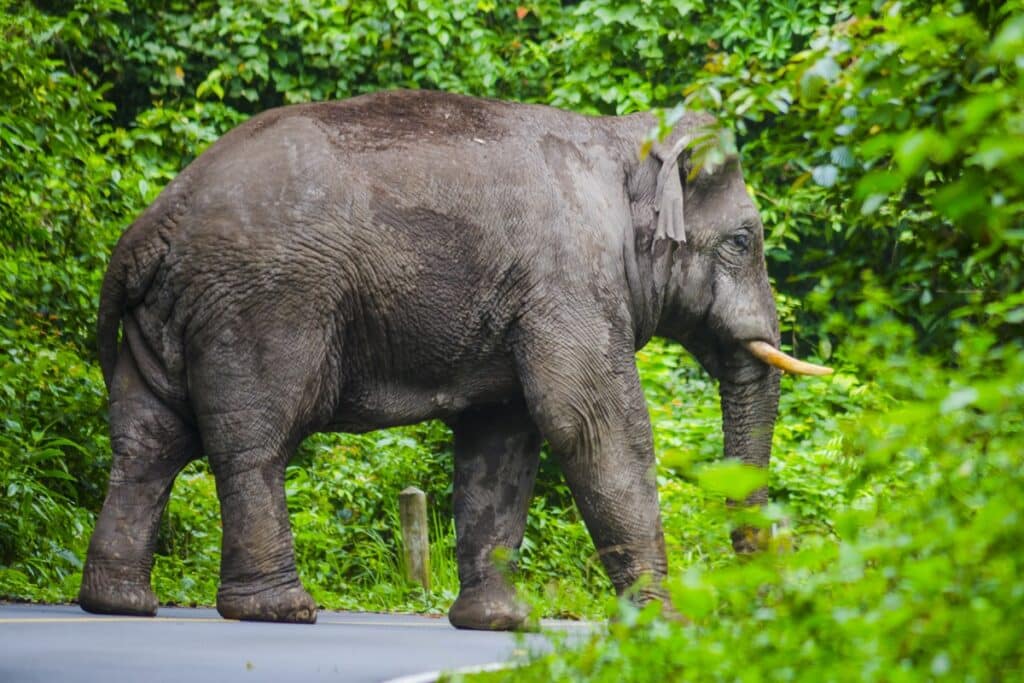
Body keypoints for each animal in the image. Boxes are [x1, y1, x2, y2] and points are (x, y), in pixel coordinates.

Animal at [79, 89, 831, 630]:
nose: (761, 606)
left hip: (173, 315)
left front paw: (500, 624)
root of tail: (151, 224)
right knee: (253, 444)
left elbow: (502, 442)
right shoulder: (569, 278)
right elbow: (592, 424)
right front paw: (668, 624)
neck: (625, 139)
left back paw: (120, 604)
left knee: (148, 443)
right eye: (742, 241)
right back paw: (278, 610)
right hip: (262, 305)